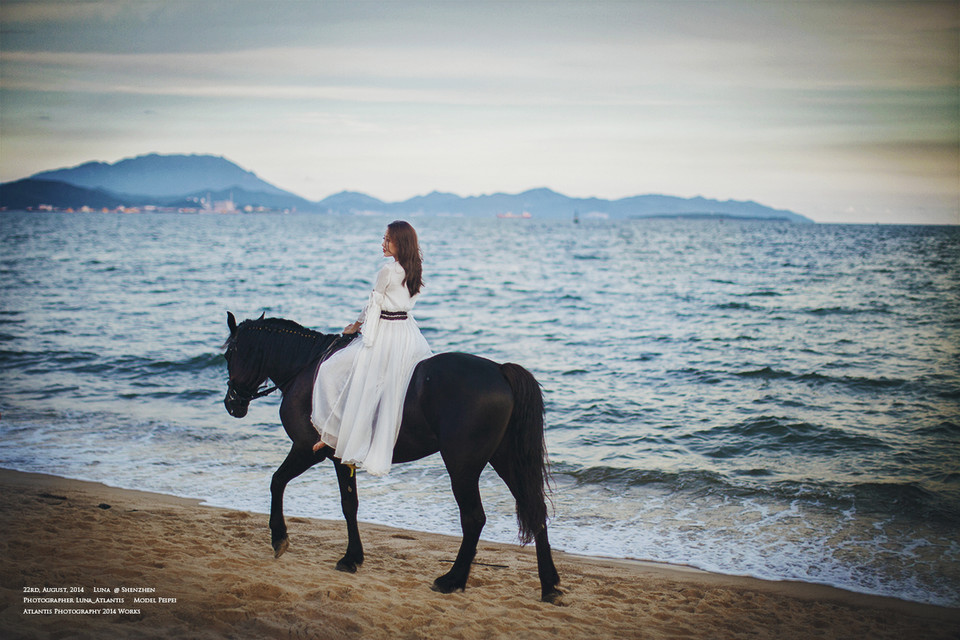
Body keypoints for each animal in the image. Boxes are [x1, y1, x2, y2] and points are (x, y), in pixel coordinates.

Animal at [222, 312, 564, 604]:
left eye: (227, 355)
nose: (231, 404)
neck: (307, 368)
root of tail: (499, 370)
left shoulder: (307, 449)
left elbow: (277, 481)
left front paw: (279, 538)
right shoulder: (340, 457)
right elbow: (349, 504)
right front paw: (352, 557)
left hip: (463, 467)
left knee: (474, 518)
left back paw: (452, 580)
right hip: (506, 460)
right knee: (535, 510)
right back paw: (549, 586)